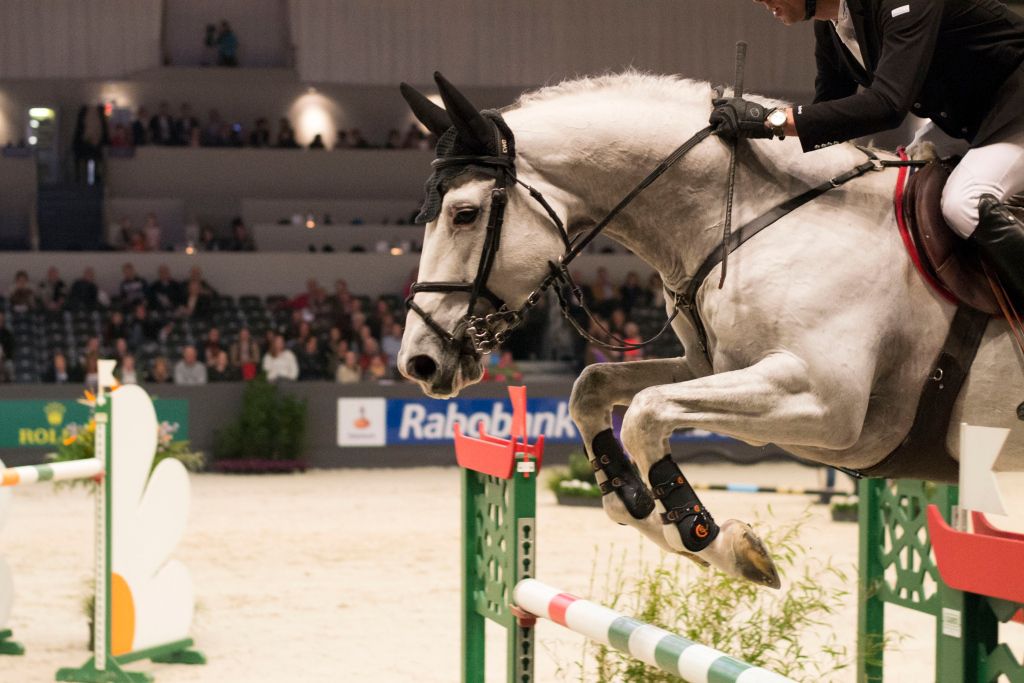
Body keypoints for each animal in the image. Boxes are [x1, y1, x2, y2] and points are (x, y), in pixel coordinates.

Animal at [393, 73, 1024, 589]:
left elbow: (646, 413)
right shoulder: (710, 368)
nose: (417, 363)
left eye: (465, 213)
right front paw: (638, 504)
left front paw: (711, 539)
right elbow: (592, 387)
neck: (753, 217)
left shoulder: (827, 405)